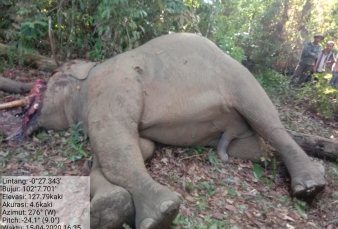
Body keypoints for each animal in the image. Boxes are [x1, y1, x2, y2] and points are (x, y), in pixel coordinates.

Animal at [1, 32, 324, 229]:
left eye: (51, 77)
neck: (90, 73)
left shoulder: (112, 83)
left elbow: (117, 149)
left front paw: (163, 213)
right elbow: (136, 147)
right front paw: (110, 209)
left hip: (241, 79)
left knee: (269, 122)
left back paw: (311, 186)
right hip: (235, 135)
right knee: (257, 148)